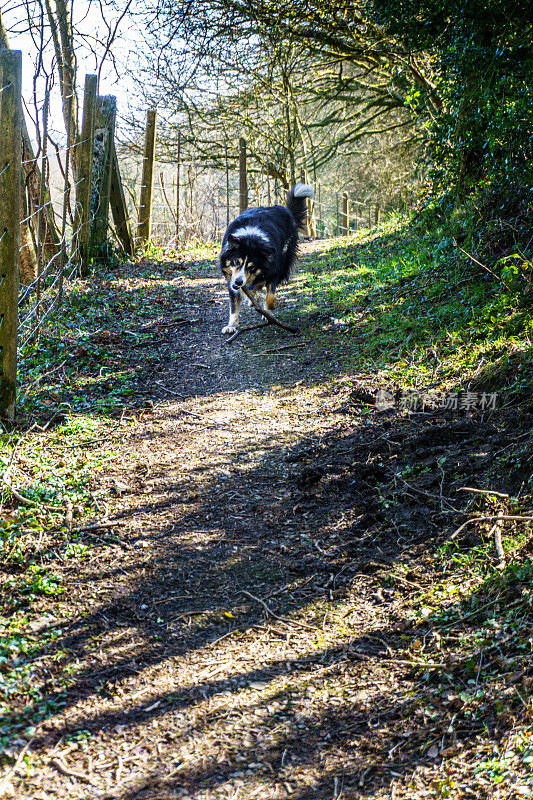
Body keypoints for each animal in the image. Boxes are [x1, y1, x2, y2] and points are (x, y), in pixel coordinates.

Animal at [219, 183, 314, 332]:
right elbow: (233, 304)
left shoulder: (274, 269)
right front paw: (231, 325)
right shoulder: (231, 277)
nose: (239, 282)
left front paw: (269, 309)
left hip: (287, 259)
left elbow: (271, 295)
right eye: (236, 261)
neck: (251, 238)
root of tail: (284, 210)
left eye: (252, 267)